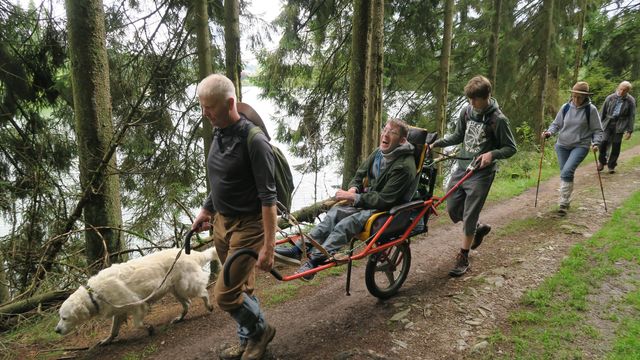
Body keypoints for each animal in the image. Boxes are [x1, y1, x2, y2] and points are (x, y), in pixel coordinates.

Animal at [53, 246, 218, 344]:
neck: (94, 295)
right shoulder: (118, 311)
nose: (56, 330)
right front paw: (107, 340)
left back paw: (209, 305)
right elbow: (113, 329)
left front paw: (149, 328)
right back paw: (179, 318)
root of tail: (192, 254)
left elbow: (137, 324)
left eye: (64, 318)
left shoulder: (136, 304)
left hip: (186, 286)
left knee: (203, 292)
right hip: (175, 289)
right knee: (187, 303)